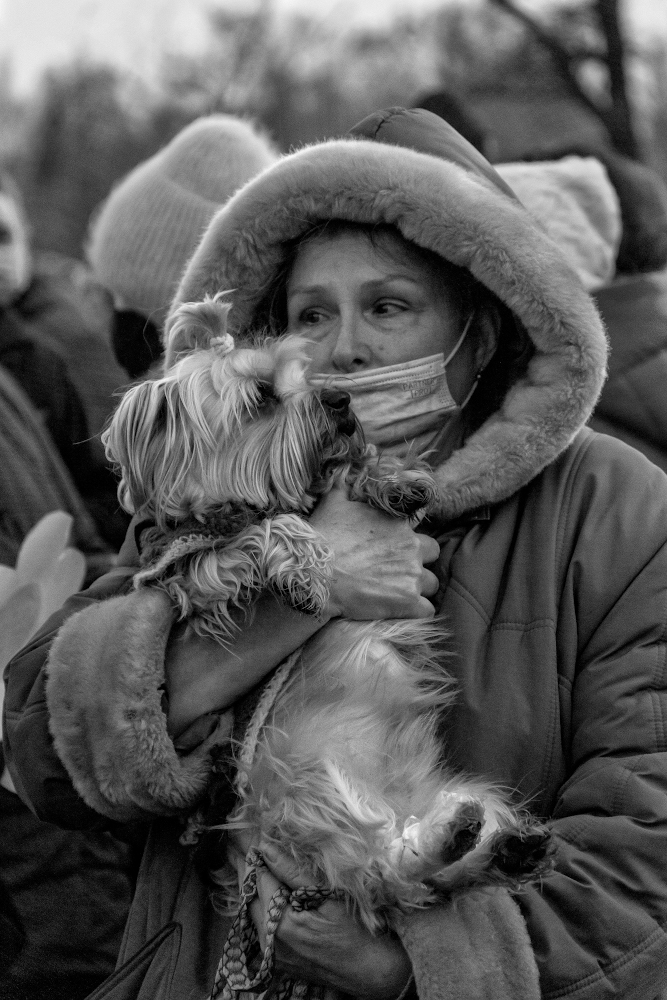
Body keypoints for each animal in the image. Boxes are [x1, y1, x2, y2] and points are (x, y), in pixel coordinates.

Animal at [104, 292, 552, 932]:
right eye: (261, 398)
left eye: (307, 377)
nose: (340, 398)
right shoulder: (188, 574)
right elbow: (258, 534)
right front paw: (304, 563)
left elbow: (350, 467)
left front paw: (394, 479)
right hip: (297, 787)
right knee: (385, 871)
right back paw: (460, 845)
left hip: (436, 796)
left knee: (426, 869)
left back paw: (502, 846)